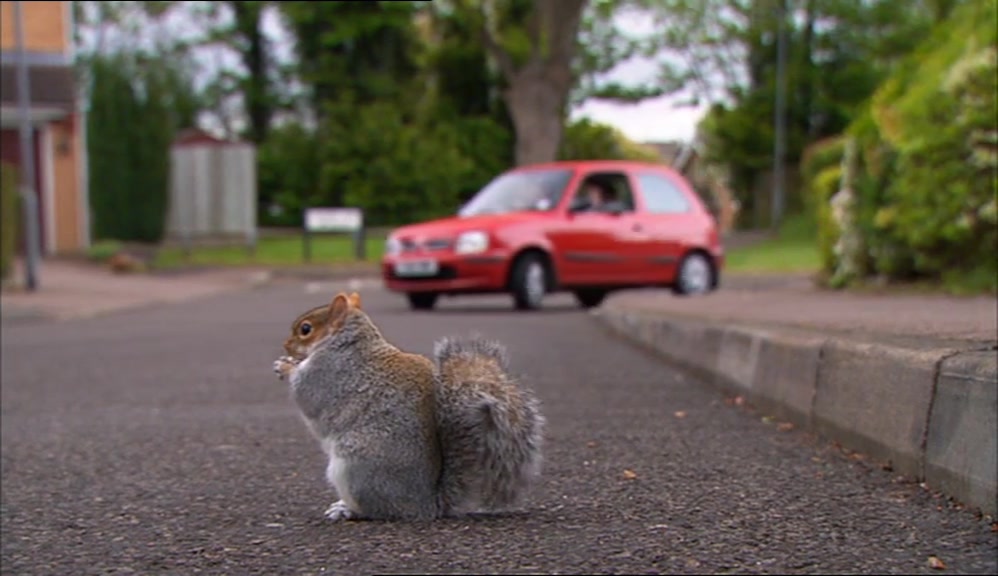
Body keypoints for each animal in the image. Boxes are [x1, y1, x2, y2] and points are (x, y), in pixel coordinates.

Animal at [273, 291, 545, 522]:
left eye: (305, 329)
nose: (286, 346)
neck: (348, 341)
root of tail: (426, 505)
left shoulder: (329, 371)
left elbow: (307, 392)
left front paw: (286, 366)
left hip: (354, 471)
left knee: (375, 510)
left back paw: (347, 510)